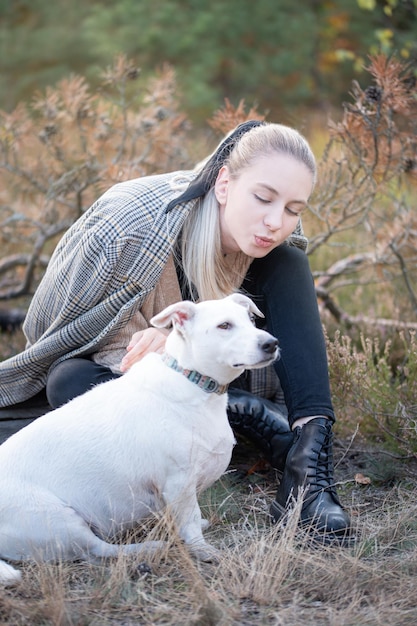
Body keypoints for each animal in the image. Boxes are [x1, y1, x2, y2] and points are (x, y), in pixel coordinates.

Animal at [0, 294, 280, 584]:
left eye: (250, 319)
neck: (194, 382)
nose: (271, 344)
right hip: (60, 520)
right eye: (224, 326)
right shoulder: (179, 483)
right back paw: (148, 548)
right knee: (98, 550)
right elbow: (191, 520)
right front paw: (202, 550)